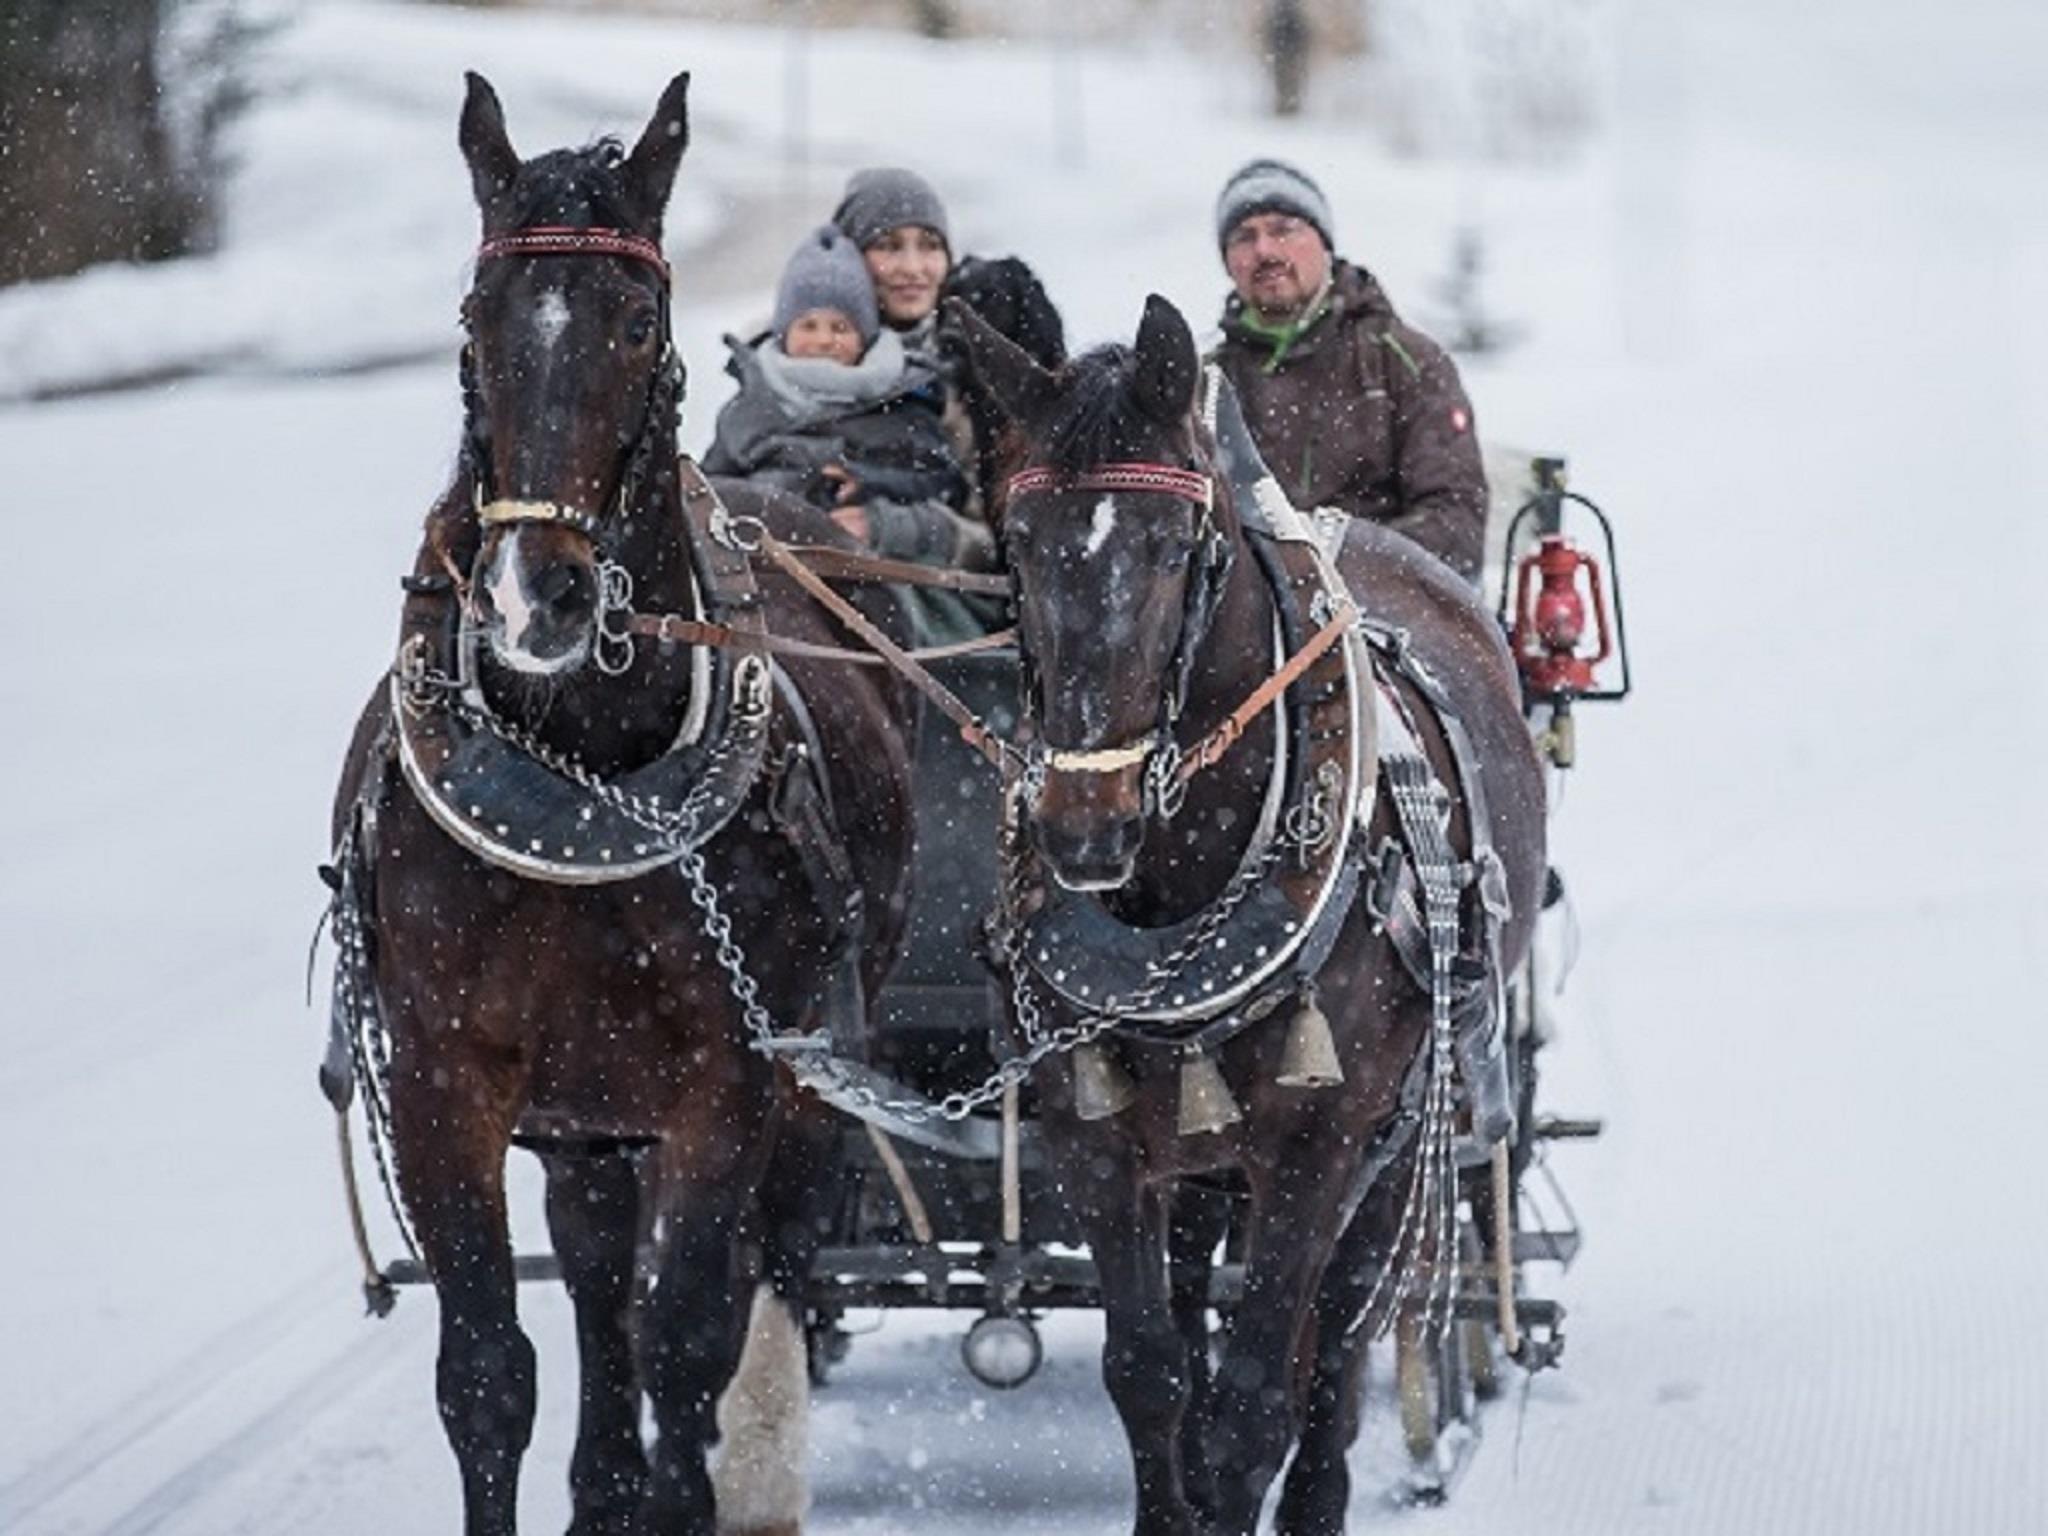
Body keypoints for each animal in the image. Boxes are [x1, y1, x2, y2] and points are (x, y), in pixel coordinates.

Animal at [329, 75, 913, 1536]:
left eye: (639, 323)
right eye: (476, 320)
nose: (534, 596)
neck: (573, 769)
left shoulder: (726, 1084)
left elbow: (688, 1341)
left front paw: (683, 1478)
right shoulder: (444, 1078)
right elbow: (491, 1372)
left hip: (800, 1091)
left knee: (755, 1276)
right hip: (586, 1110)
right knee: (596, 1276)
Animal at [950, 294, 1540, 1531]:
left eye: (1175, 549)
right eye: (1016, 547)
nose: (1083, 826)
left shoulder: (1321, 1137)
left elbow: (1259, 1397)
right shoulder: (1096, 1141)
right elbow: (1149, 1373)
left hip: (1397, 1134)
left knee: (1340, 1341)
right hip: (1198, 1148)